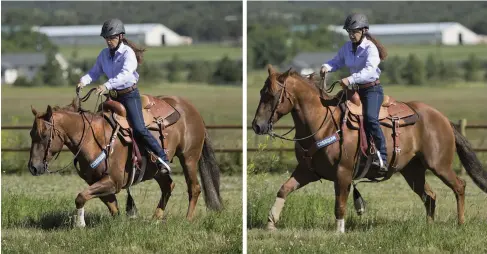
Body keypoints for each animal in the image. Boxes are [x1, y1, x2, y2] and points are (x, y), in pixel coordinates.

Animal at [28, 95, 223, 228]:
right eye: (31, 134)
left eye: (44, 135)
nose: (33, 168)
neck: (93, 138)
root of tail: (191, 109)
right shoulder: (99, 183)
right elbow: (112, 207)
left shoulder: (112, 181)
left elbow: (81, 196)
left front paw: (80, 224)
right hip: (156, 169)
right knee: (168, 186)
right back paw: (155, 219)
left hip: (189, 158)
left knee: (194, 188)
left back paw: (187, 219)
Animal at [254, 65, 487, 232]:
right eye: (261, 92)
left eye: (272, 95)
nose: (257, 125)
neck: (323, 122)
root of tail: (442, 118)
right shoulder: (307, 171)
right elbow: (284, 189)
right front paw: (271, 223)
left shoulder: (343, 173)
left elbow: (340, 204)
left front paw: (339, 231)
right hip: (412, 170)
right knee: (429, 196)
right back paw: (429, 227)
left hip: (439, 164)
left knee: (459, 186)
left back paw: (460, 223)